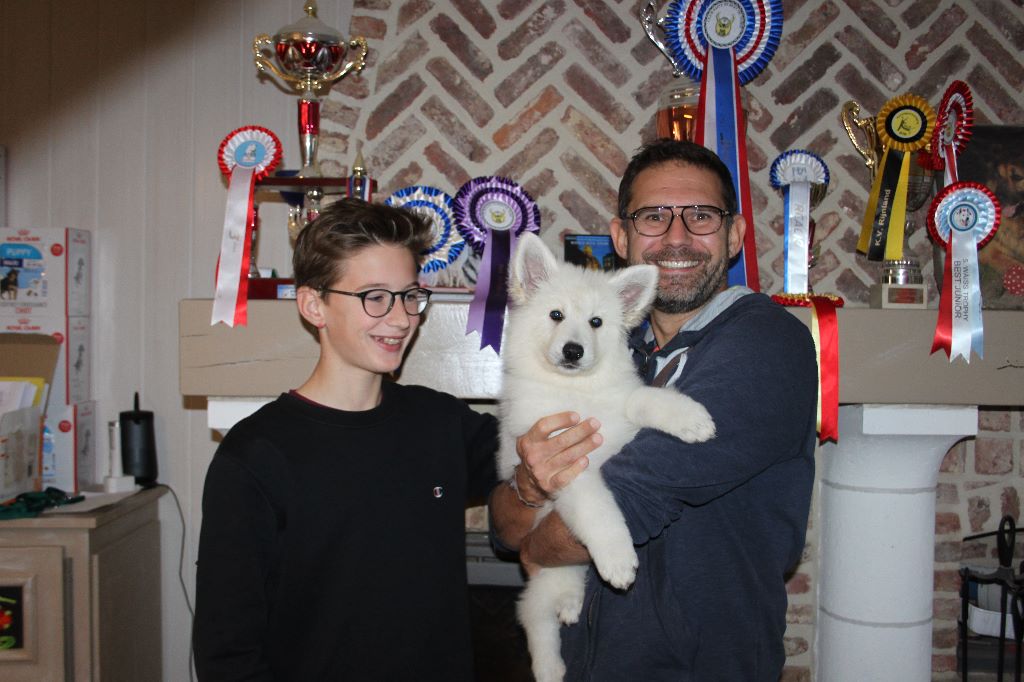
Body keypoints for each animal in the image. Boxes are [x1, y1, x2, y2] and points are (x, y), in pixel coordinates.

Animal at [499, 233, 716, 682]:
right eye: (556, 315)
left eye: (596, 323)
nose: (573, 350)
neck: (576, 391)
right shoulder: (565, 466)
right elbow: (598, 508)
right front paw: (618, 560)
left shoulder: (621, 410)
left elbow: (645, 398)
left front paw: (690, 418)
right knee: (534, 614)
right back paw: (551, 664)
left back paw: (570, 604)